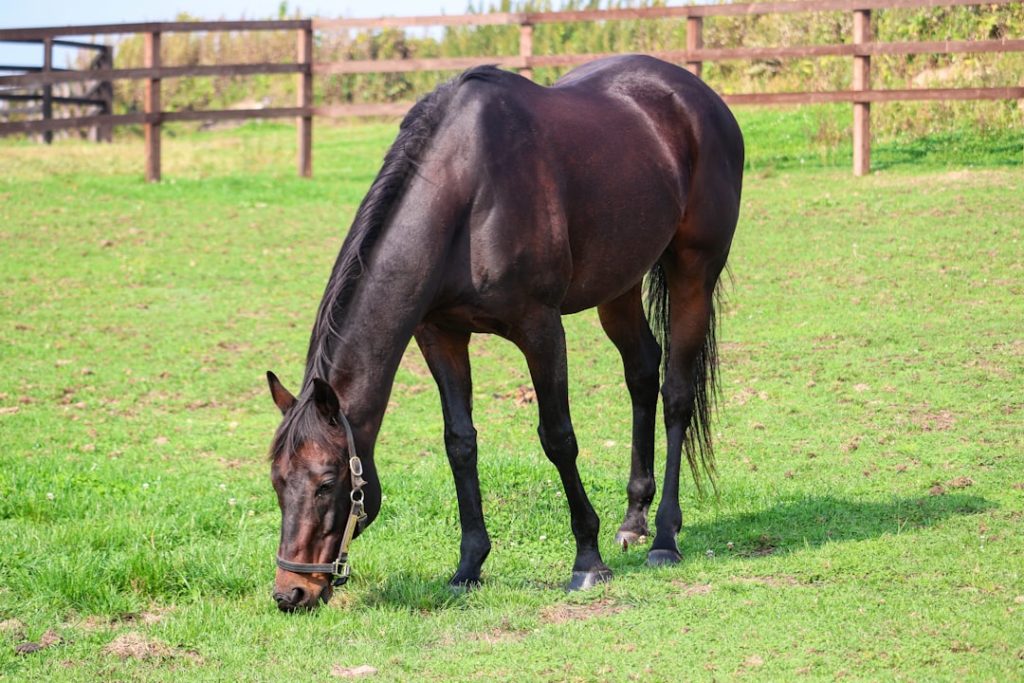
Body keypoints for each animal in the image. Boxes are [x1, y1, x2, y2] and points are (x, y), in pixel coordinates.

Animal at [266, 54, 744, 611]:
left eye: (326, 483)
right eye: (277, 482)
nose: (292, 591)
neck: (467, 195)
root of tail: (700, 96)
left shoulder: (540, 328)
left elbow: (558, 437)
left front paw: (588, 560)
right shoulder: (440, 334)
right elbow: (460, 443)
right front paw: (469, 565)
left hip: (694, 273)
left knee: (676, 394)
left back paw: (665, 537)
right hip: (618, 285)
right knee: (643, 373)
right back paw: (634, 521)